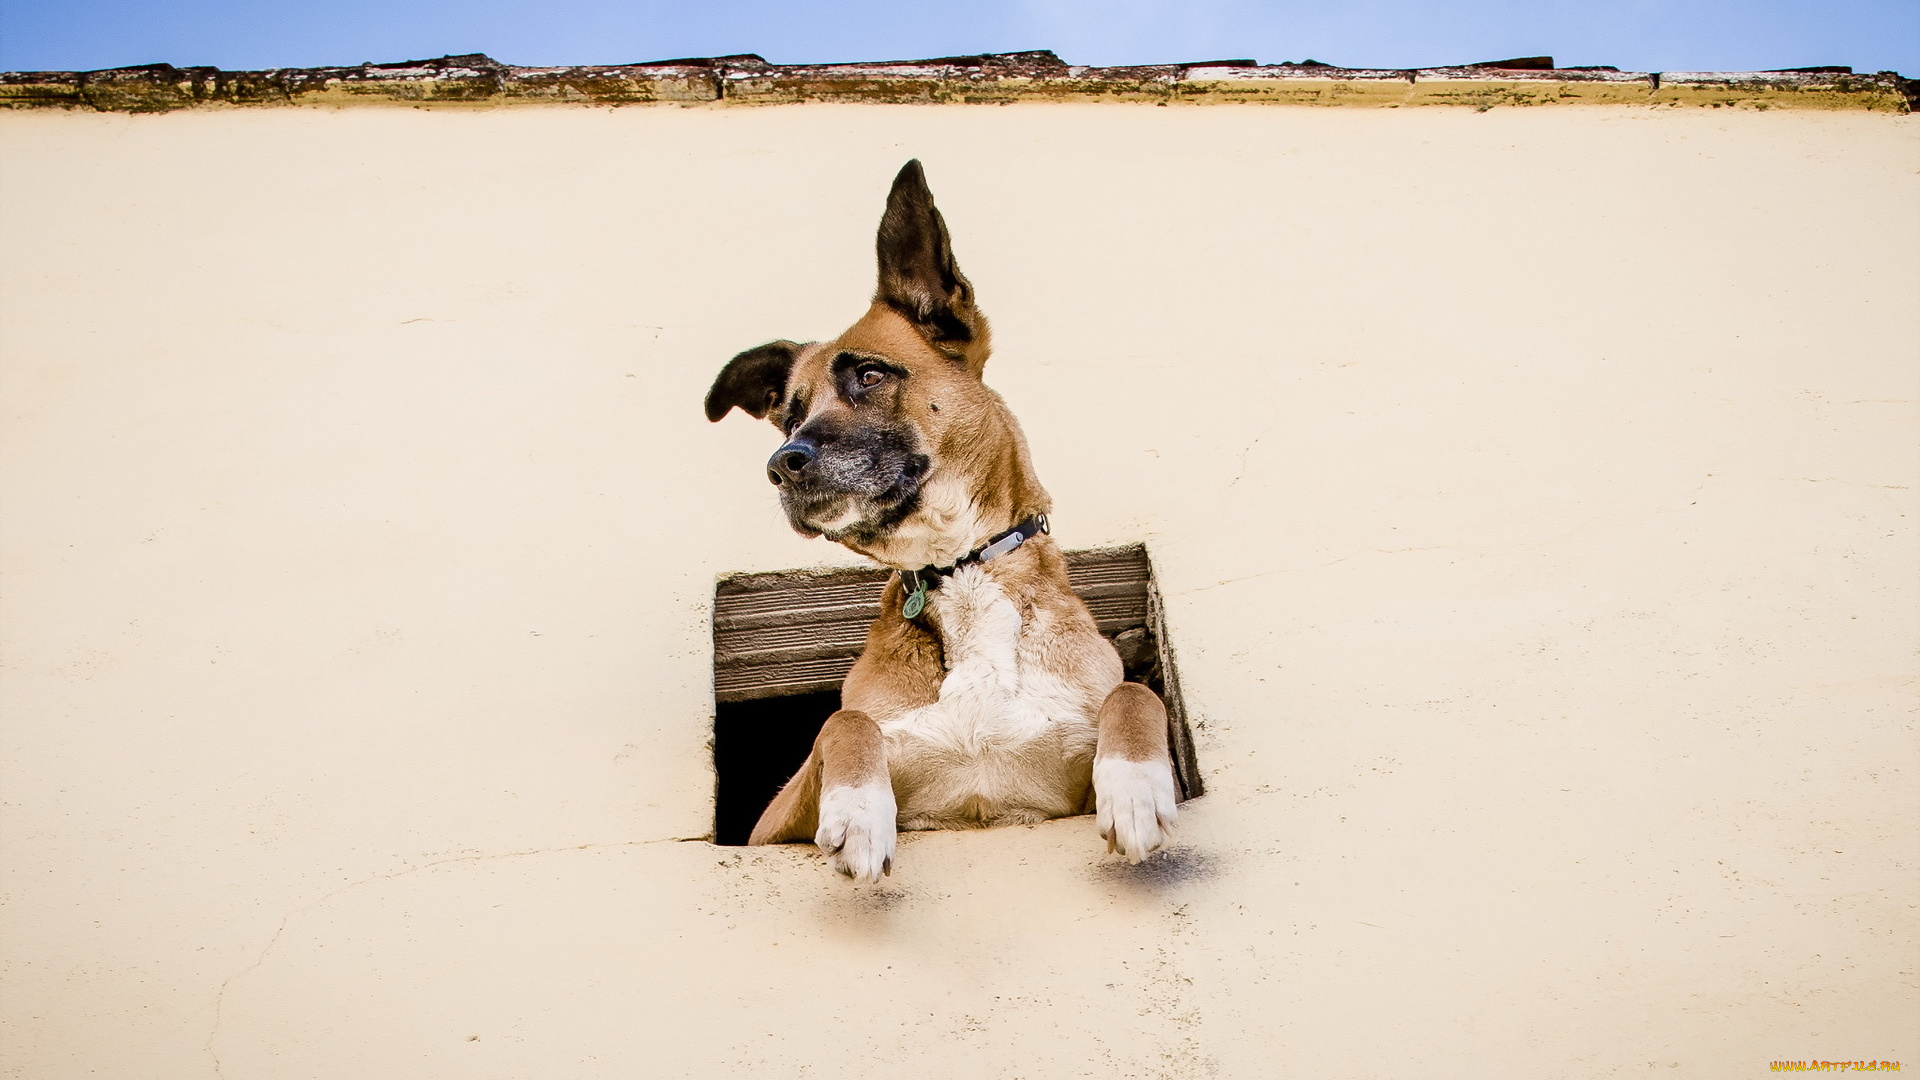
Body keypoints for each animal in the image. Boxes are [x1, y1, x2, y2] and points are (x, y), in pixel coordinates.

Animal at [706, 161, 1175, 883]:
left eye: (870, 375)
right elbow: (843, 724)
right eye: (789, 417)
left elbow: (1134, 695)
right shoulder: (772, 825)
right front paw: (858, 809)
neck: (960, 571)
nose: (782, 464)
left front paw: (1137, 783)